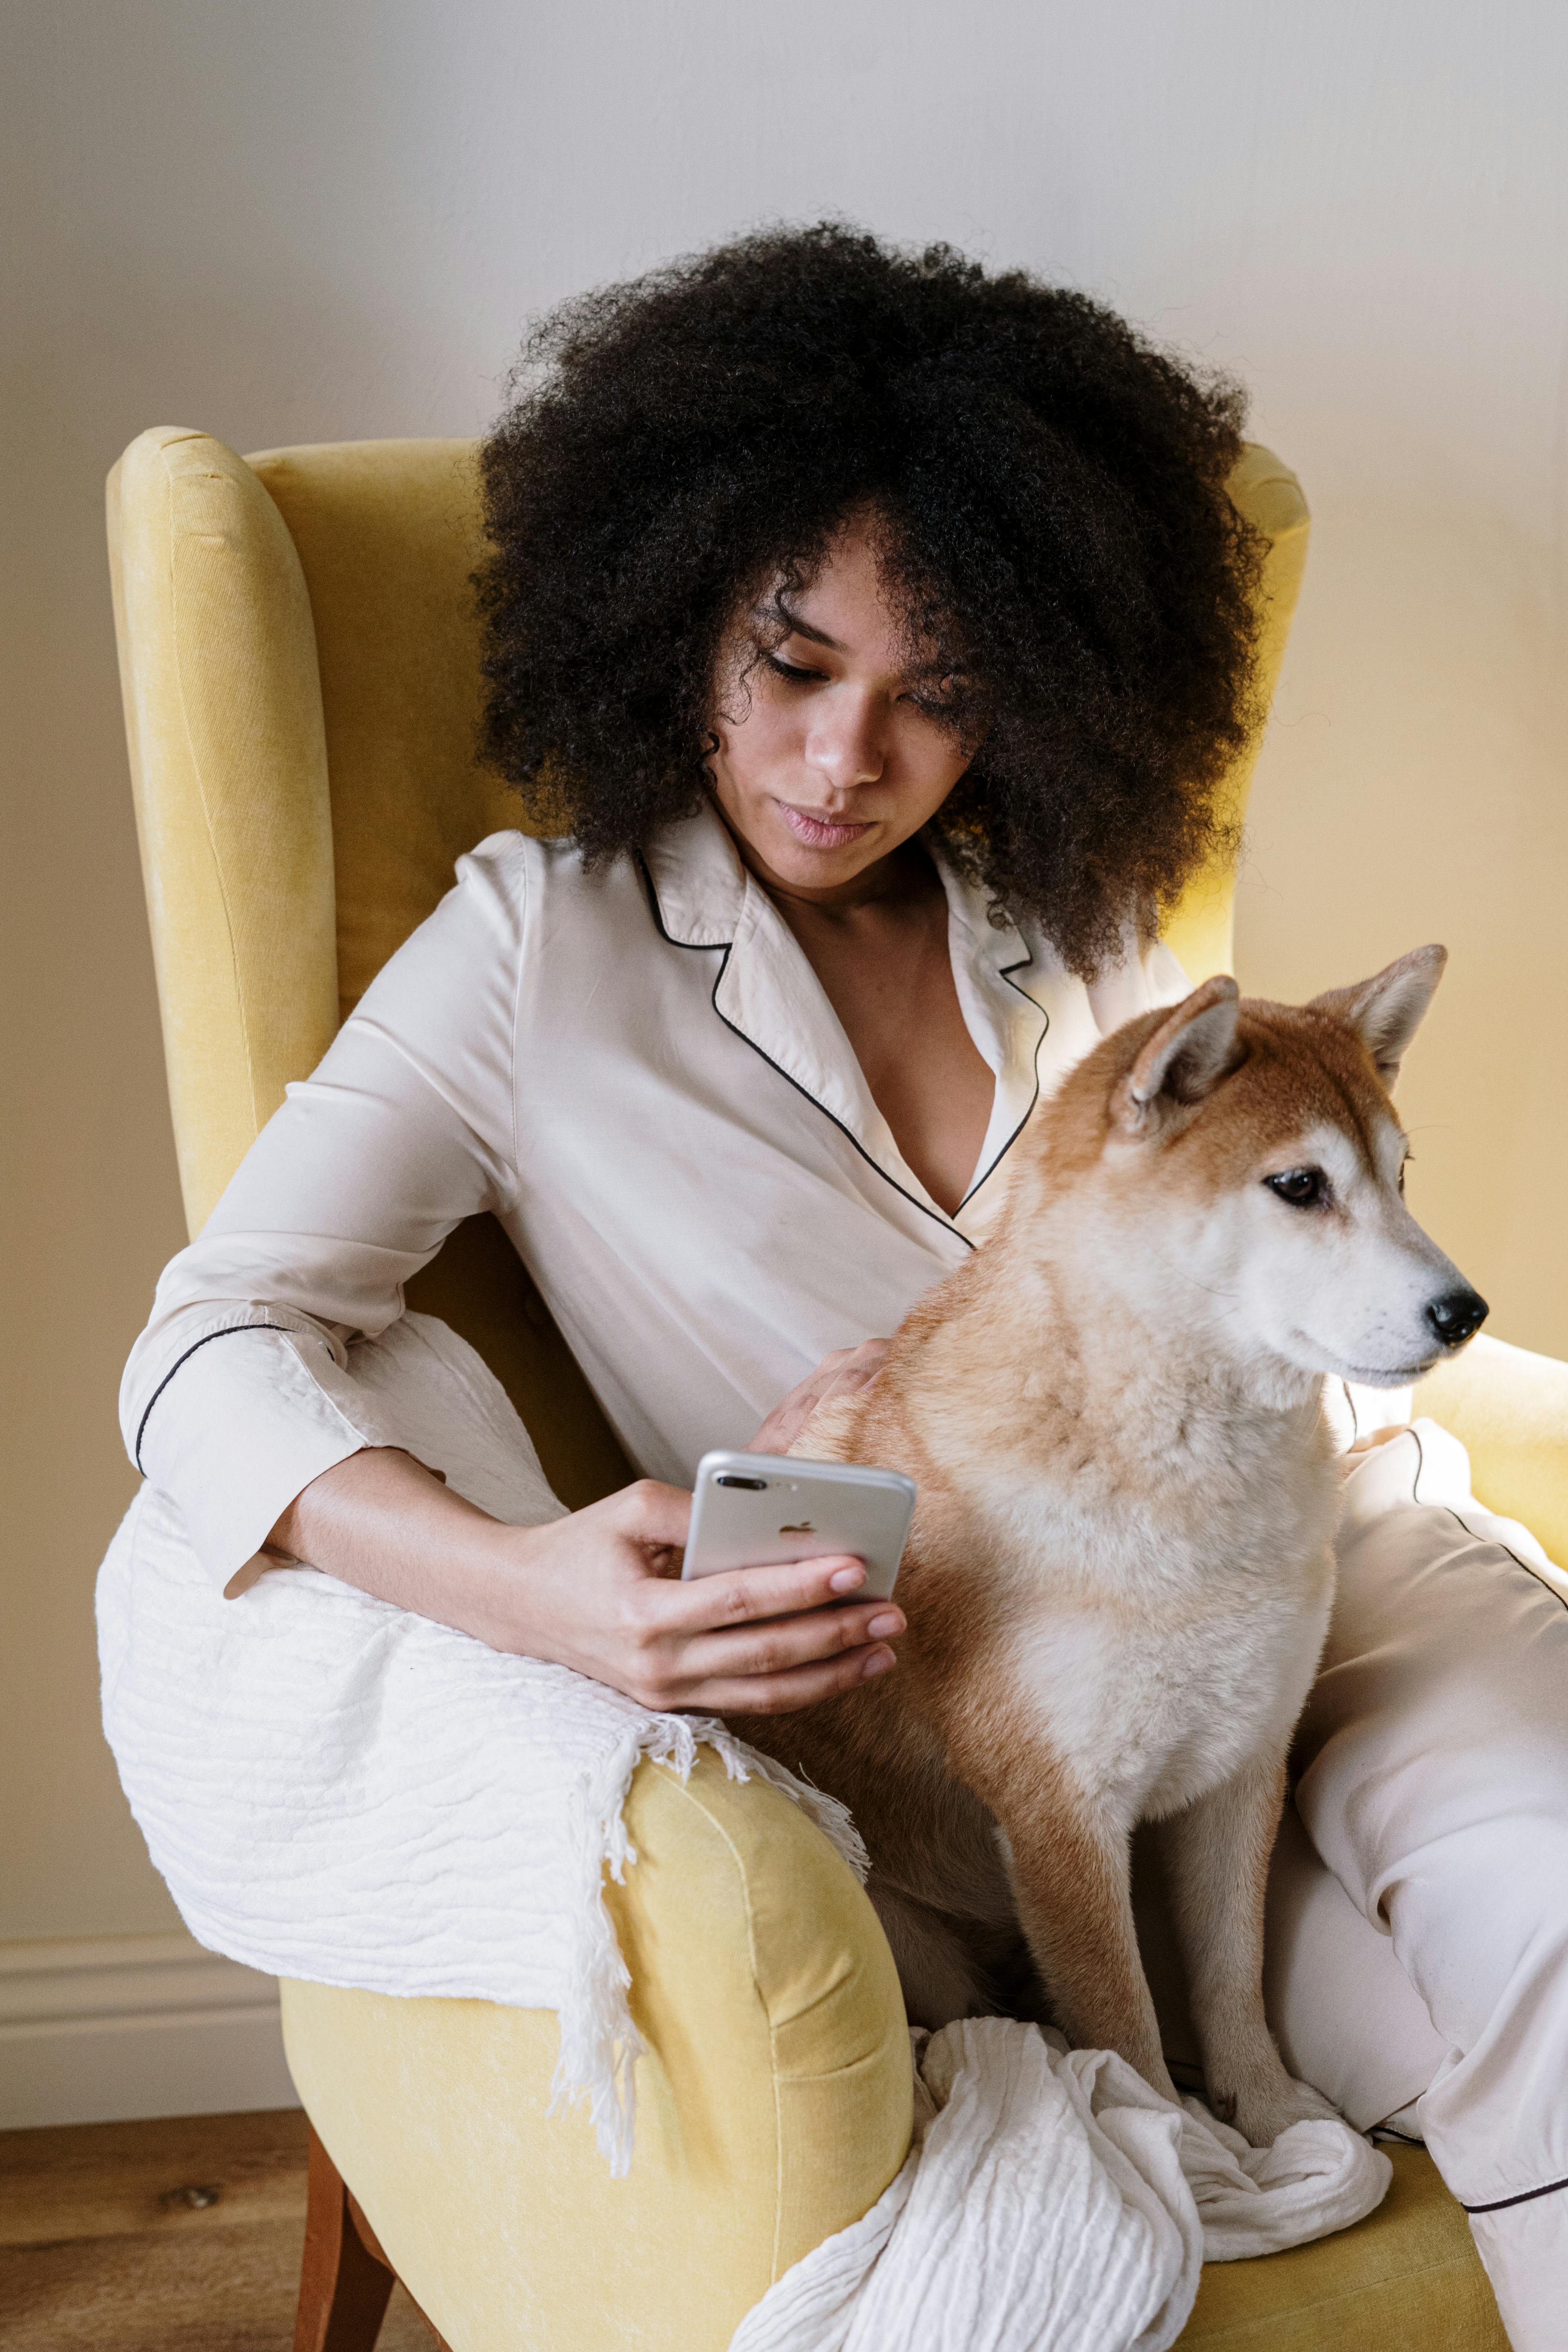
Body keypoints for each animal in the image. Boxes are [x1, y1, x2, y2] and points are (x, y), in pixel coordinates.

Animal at [743, 941, 1495, 2154]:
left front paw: (1266, 2108)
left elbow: (1231, 1974)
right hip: (917, 1947)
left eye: (1400, 1178)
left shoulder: (1242, 1767)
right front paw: (1189, 2159)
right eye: (1300, 1186)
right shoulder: (1060, 1816)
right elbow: (1125, 2035)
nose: (1466, 1313)